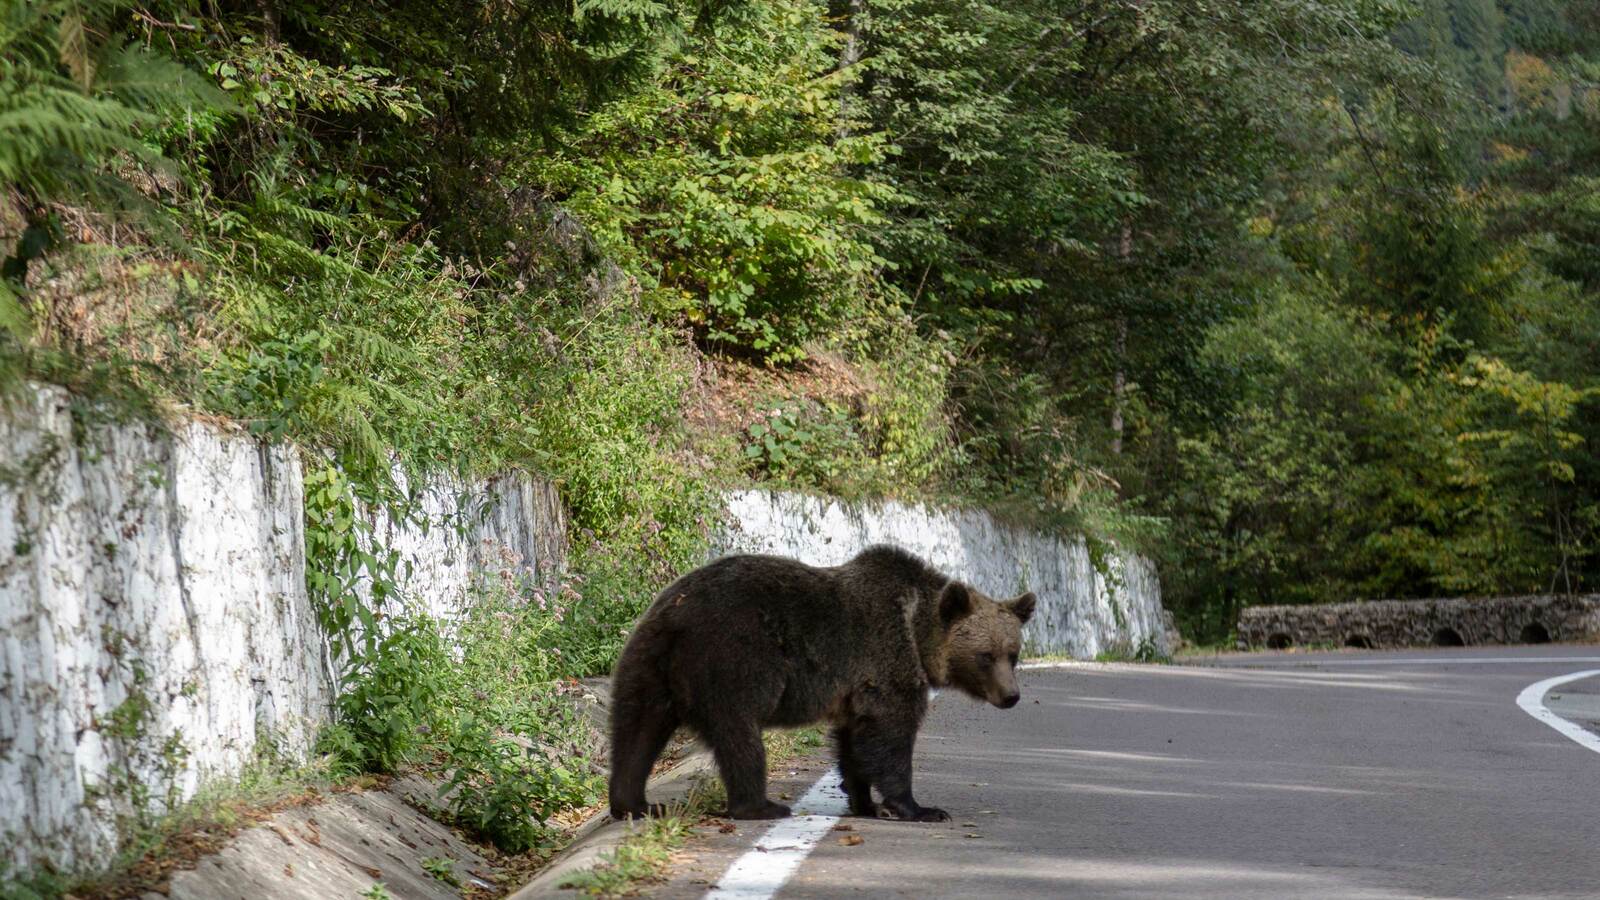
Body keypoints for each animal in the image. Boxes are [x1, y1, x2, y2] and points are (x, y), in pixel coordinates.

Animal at [601, 538, 1036, 819]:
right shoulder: (885, 659)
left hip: (646, 658)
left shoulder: (855, 690)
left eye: (1012, 654)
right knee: (738, 733)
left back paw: (635, 804)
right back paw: (760, 806)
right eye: (986, 656)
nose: (1011, 696)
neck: (916, 631)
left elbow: (854, 741)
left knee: (636, 728)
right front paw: (919, 807)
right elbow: (890, 734)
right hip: (731, 657)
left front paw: (865, 802)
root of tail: (678, 614)